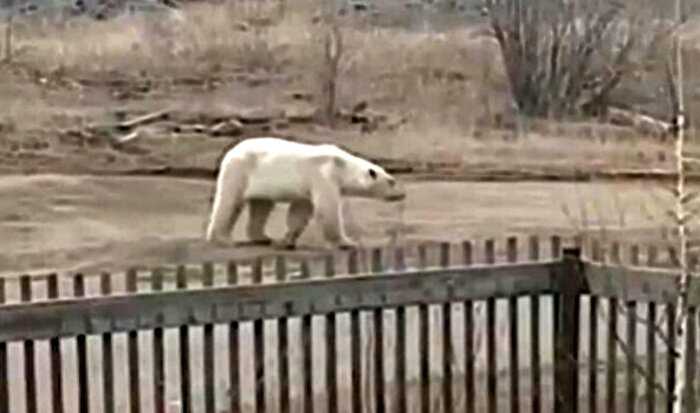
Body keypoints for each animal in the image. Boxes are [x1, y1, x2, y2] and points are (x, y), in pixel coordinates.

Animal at [204, 137, 404, 249]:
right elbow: (327, 208)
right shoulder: (323, 175)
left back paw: (263, 238)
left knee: (262, 205)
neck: (341, 165)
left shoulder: (308, 186)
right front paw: (348, 243)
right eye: (392, 181)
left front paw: (287, 241)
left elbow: (300, 211)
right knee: (230, 201)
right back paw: (222, 239)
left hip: (259, 178)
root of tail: (231, 151)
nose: (402, 194)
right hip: (240, 169)